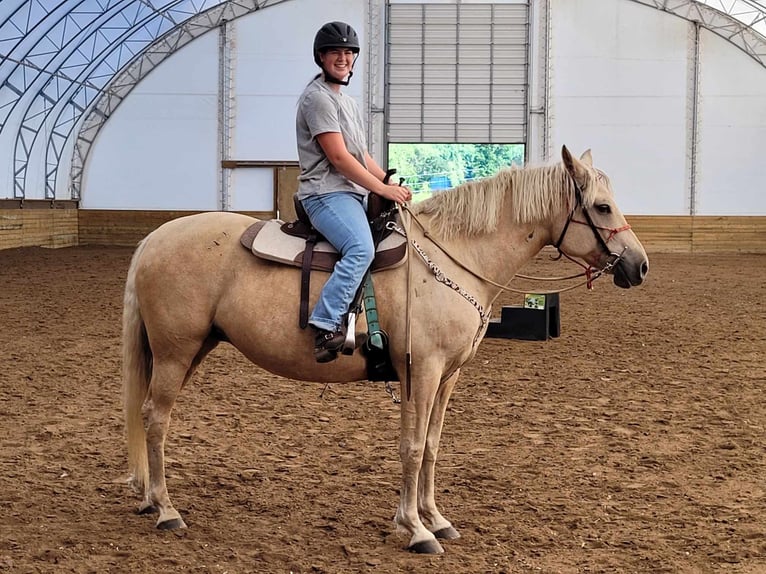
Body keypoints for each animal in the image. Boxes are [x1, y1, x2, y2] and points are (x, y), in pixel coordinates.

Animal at [123, 146, 652, 556]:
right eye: (602, 207)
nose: (639, 265)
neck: (452, 256)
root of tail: (155, 237)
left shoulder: (447, 376)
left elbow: (432, 446)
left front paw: (433, 518)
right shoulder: (422, 370)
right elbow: (412, 448)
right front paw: (416, 530)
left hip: (191, 351)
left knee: (152, 415)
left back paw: (150, 499)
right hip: (175, 353)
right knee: (155, 418)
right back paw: (166, 510)